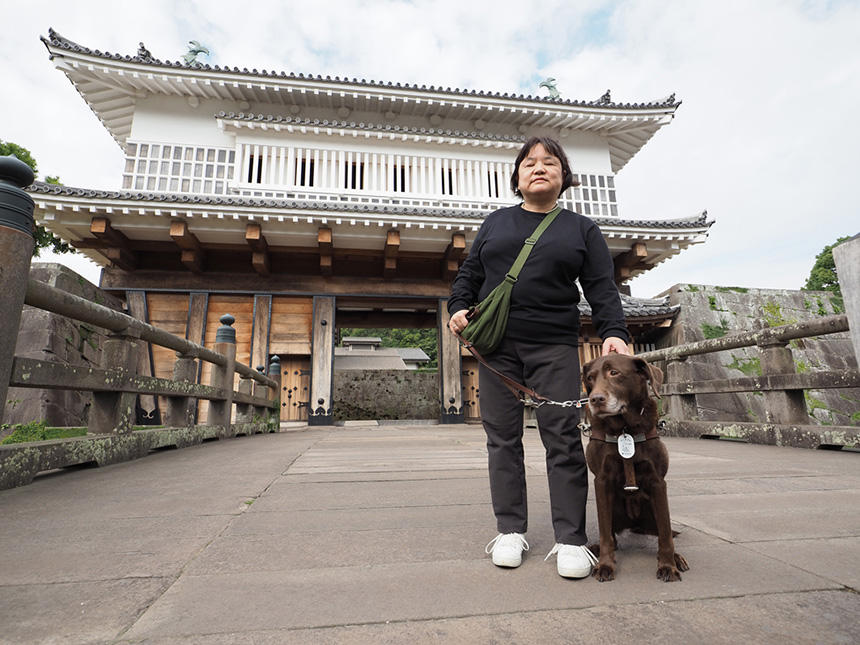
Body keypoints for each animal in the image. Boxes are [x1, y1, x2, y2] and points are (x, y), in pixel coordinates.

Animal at [580, 354, 688, 580]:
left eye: (614, 373)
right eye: (590, 378)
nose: (595, 400)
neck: (624, 428)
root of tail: (634, 525)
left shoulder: (657, 482)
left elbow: (665, 534)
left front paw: (668, 565)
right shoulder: (602, 481)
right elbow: (605, 534)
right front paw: (605, 564)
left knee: (662, 531)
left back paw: (676, 558)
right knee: (611, 536)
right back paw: (595, 549)